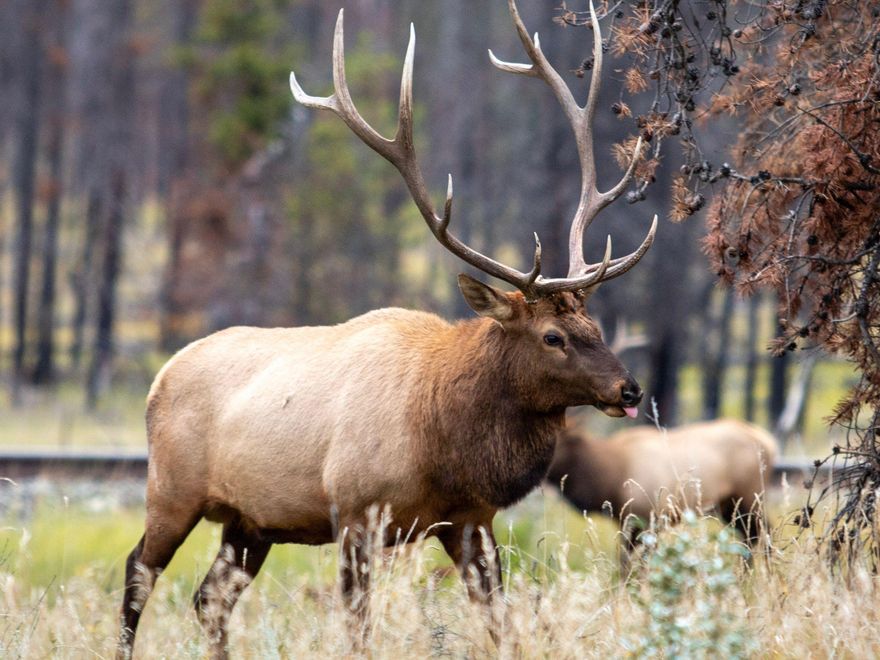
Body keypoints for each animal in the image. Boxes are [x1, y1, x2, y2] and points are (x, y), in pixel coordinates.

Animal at [117, 1, 657, 657]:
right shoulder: (356, 514)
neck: (444, 439)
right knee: (139, 574)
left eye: (593, 324)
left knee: (209, 599)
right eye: (552, 337)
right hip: (171, 490)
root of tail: (158, 378)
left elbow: (499, 621)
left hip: (251, 522)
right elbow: (358, 629)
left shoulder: (470, 520)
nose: (629, 388)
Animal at [546, 419, 778, 553]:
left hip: (749, 499)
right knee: (750, 538)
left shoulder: (646, 520)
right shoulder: (627, 522)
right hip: (729, 508)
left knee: (764, 535)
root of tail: (769, 442)